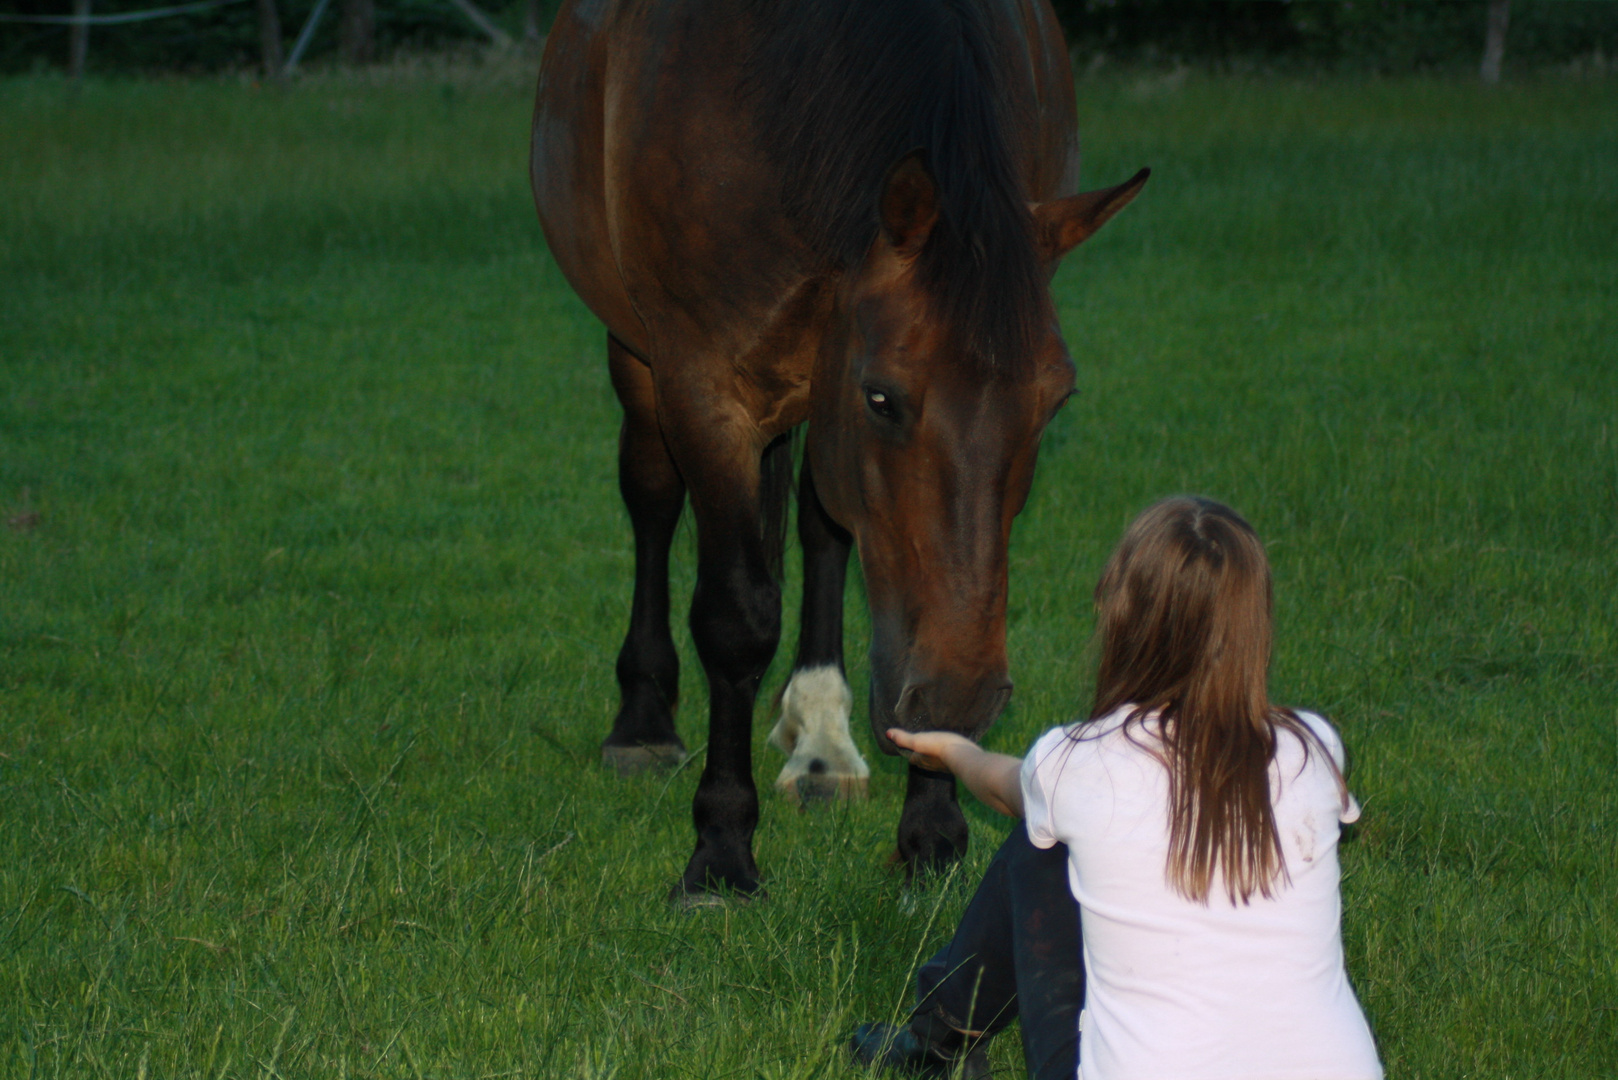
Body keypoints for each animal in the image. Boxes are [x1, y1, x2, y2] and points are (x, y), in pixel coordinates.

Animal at [530, 0, 1139, 900]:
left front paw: (931, 826)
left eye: (1054, 401)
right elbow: (736, 616)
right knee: (651, 498)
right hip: (636, 354)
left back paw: (818, 735)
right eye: (882, 398)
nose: (959, 699)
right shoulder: (701, 386)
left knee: (823, 530)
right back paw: (642, 722)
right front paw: (721, 849)